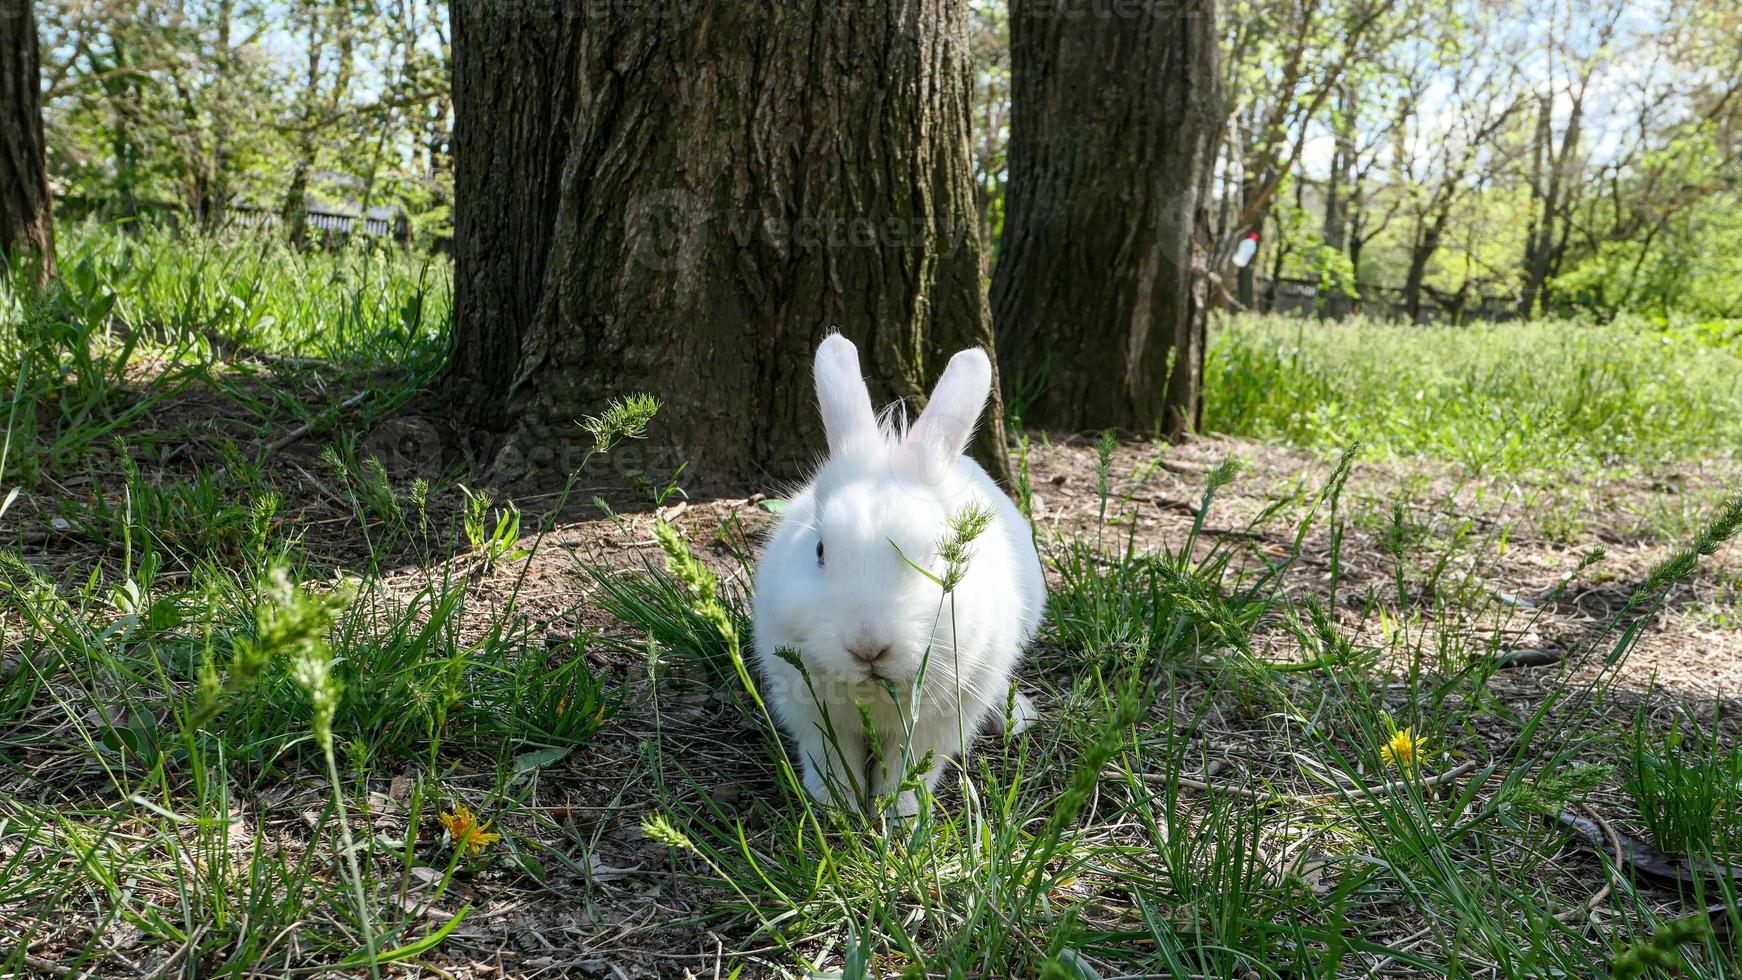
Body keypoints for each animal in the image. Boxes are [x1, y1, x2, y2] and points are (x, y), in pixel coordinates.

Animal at [752, 334, 1045, 818]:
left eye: (938, 556)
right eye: (820, 550)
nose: (868, 646)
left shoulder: (939, 722)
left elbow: (910, 770)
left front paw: (899, 814)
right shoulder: (811, 713)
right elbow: (831, 759)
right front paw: (838, 806)